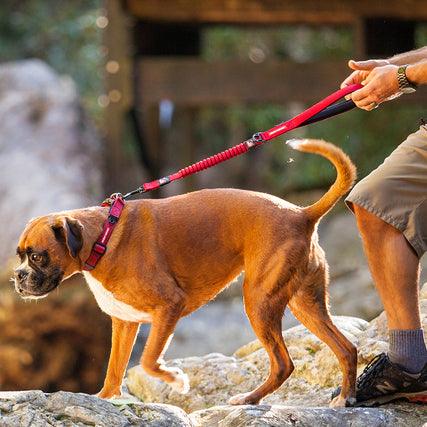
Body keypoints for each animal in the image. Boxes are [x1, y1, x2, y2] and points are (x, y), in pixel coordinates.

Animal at [13, 140, 360, 408]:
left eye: (37, 256)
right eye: (19, 256)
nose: (17, 277)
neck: (104, 235)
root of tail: (302, 214)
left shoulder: (169, 306)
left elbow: (148, 359)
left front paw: (176, 380)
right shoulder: (124, 323)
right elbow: (114, 368)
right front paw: (104, 398)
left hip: (259, 302)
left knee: (283, 364)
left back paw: (249, 399)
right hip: (305, 304)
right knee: (346, 348)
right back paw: (345, 397)